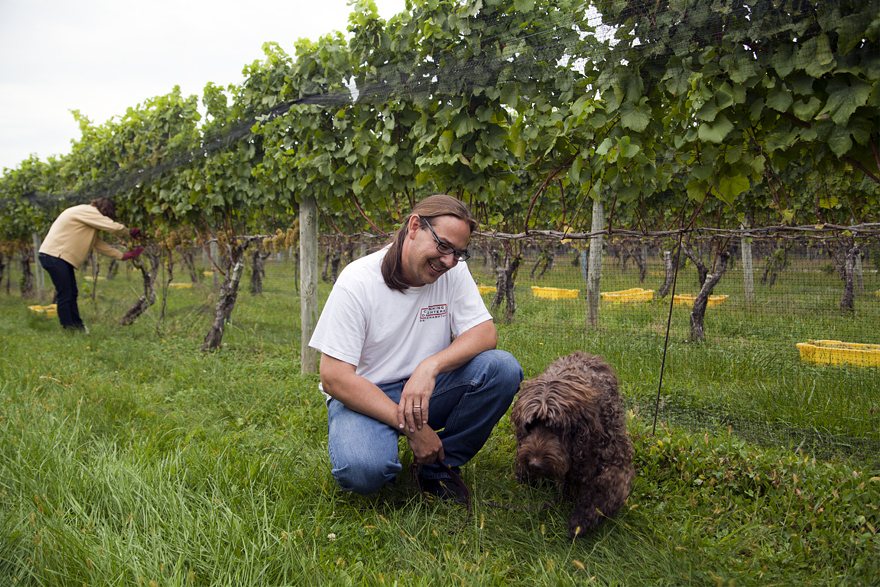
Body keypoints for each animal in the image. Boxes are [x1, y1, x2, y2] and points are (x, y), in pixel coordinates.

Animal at [512, 352, 636, 540]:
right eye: (530, 425)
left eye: (557, 428)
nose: (534, 464)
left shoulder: (616, 457)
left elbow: (606, 487)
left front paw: (581, 520)